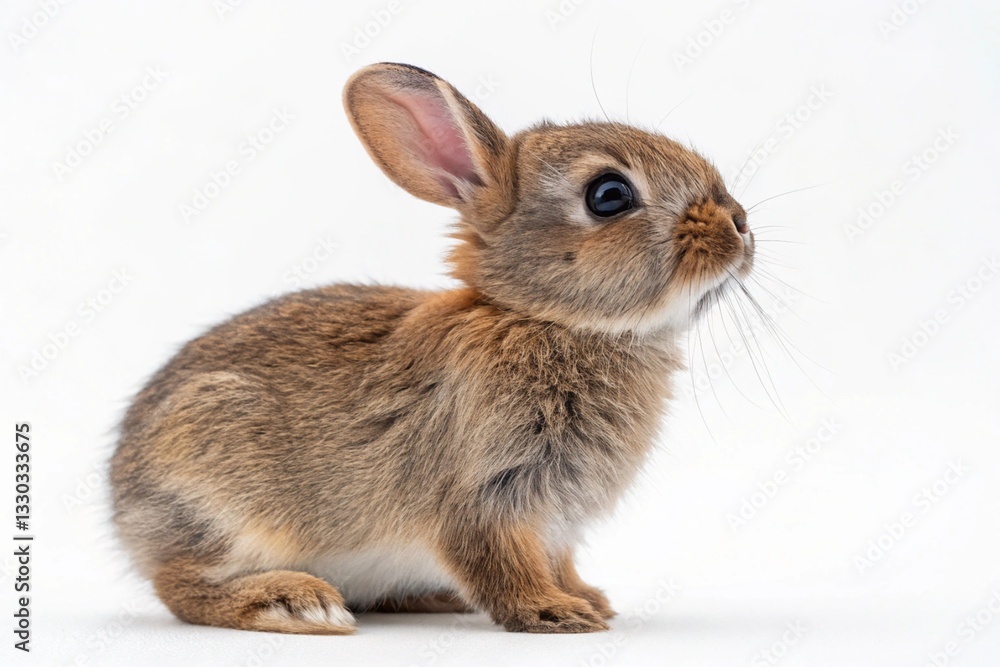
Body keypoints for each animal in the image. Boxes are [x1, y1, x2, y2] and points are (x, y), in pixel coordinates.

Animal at [110, 62, 754, 635]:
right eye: (610, 195)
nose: (740, 224)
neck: (546, 319)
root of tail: (122, 504)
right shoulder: (482, 492)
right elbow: (497, 562)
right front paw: (556, 613)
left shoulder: (554, 523)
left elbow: (557, 561)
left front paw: (589, 599)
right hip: (220, 488)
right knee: (181, 584)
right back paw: (294, 604)